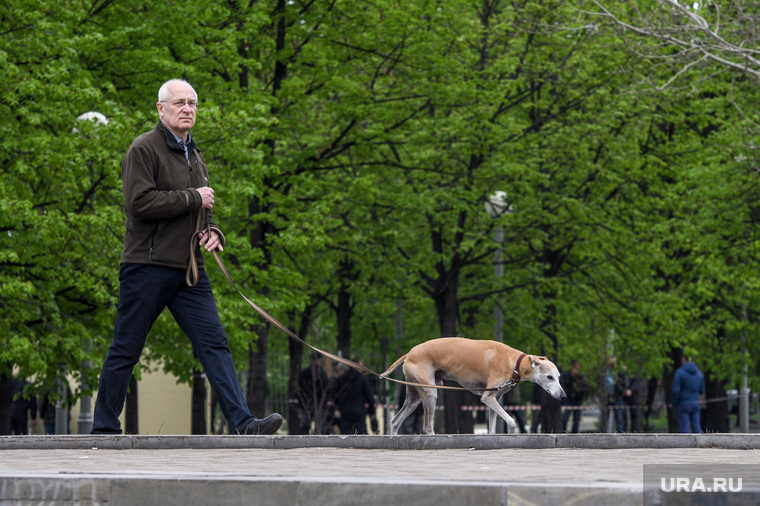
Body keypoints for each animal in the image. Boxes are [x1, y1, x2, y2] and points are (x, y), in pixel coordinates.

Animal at [382, 338, 568, 432]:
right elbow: (511, 421)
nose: (563, 396)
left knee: (395, 421)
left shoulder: (495, 398)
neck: (514, 362)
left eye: (559, 377)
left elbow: (492, 428)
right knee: (427, 427)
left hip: (413, 396)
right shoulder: (488, 398)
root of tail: (410, 353)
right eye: (549, 377)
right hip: (430, 393)